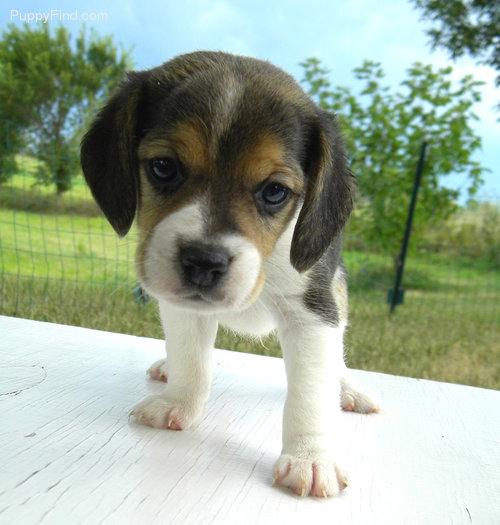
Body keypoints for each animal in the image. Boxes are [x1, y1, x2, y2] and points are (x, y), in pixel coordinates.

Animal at [81, 51, 378, 498]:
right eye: (163, 167)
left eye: (274, 191)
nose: (204, 262)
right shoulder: (182, 306)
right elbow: (192, 360)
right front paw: (178, 402)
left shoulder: (313, 313)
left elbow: (309, 392)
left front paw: (310, 457)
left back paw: (347, 389)